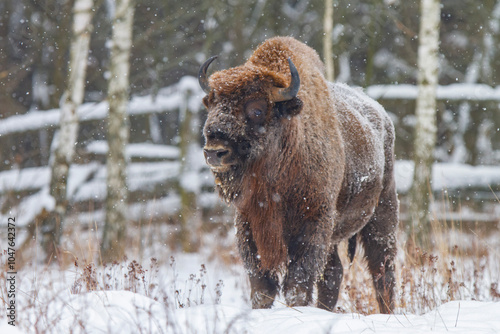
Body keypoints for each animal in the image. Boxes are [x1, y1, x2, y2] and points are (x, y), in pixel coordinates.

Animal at [199, 36, 398, 314]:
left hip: (383, 213)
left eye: (257, 109)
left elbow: (298, 281)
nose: (215, 151)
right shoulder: (249, 223)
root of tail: (382, 115)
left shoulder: (313, 222)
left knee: (383, 271)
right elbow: (261, 284)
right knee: (334, 273)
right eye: (213, 104)